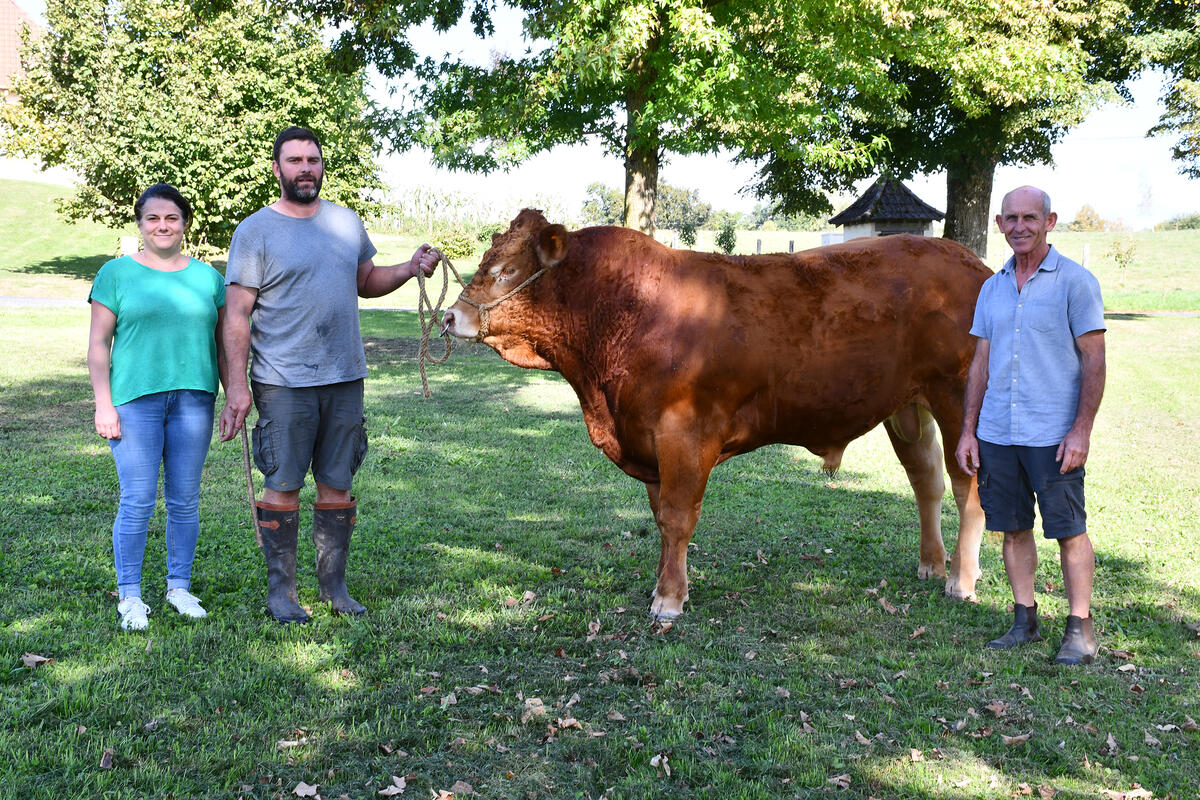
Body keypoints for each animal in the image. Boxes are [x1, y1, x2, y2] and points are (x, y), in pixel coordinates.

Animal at [446, 208, 988, 618]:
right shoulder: (647, 439)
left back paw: (961, 581)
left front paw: (668, 601)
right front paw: (663, 585)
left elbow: (678, 515)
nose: (450, 316)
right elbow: (661, 518)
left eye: (505, 271)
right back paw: (932, 564)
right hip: (908, 406)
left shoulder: (683, 432)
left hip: (958, 400)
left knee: (968, 490)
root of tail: (968, 260)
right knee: (927, 481)